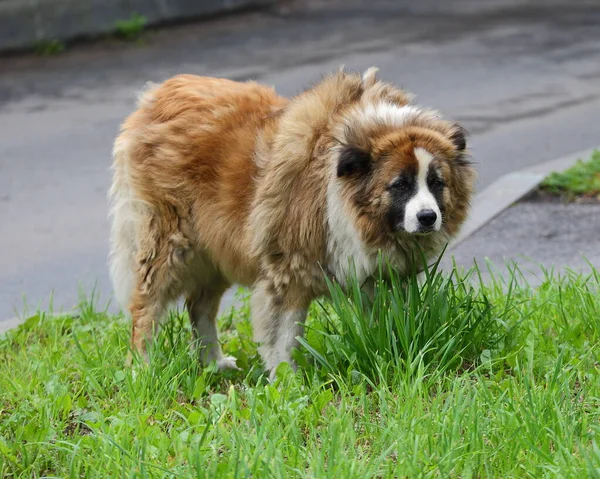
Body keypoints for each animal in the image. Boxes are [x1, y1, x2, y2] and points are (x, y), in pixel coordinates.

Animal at [106, 66, 474, 378]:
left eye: (437, 183)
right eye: (400, 185)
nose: (428, 217)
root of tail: (157, 95)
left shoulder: (379, 276)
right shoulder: (287, 273)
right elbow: (284, 336)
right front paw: (287, 381)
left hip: (216, 251)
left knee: (199, 307)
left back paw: (214, 363)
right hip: (172, 245)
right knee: (147, 308)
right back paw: (142, 368)